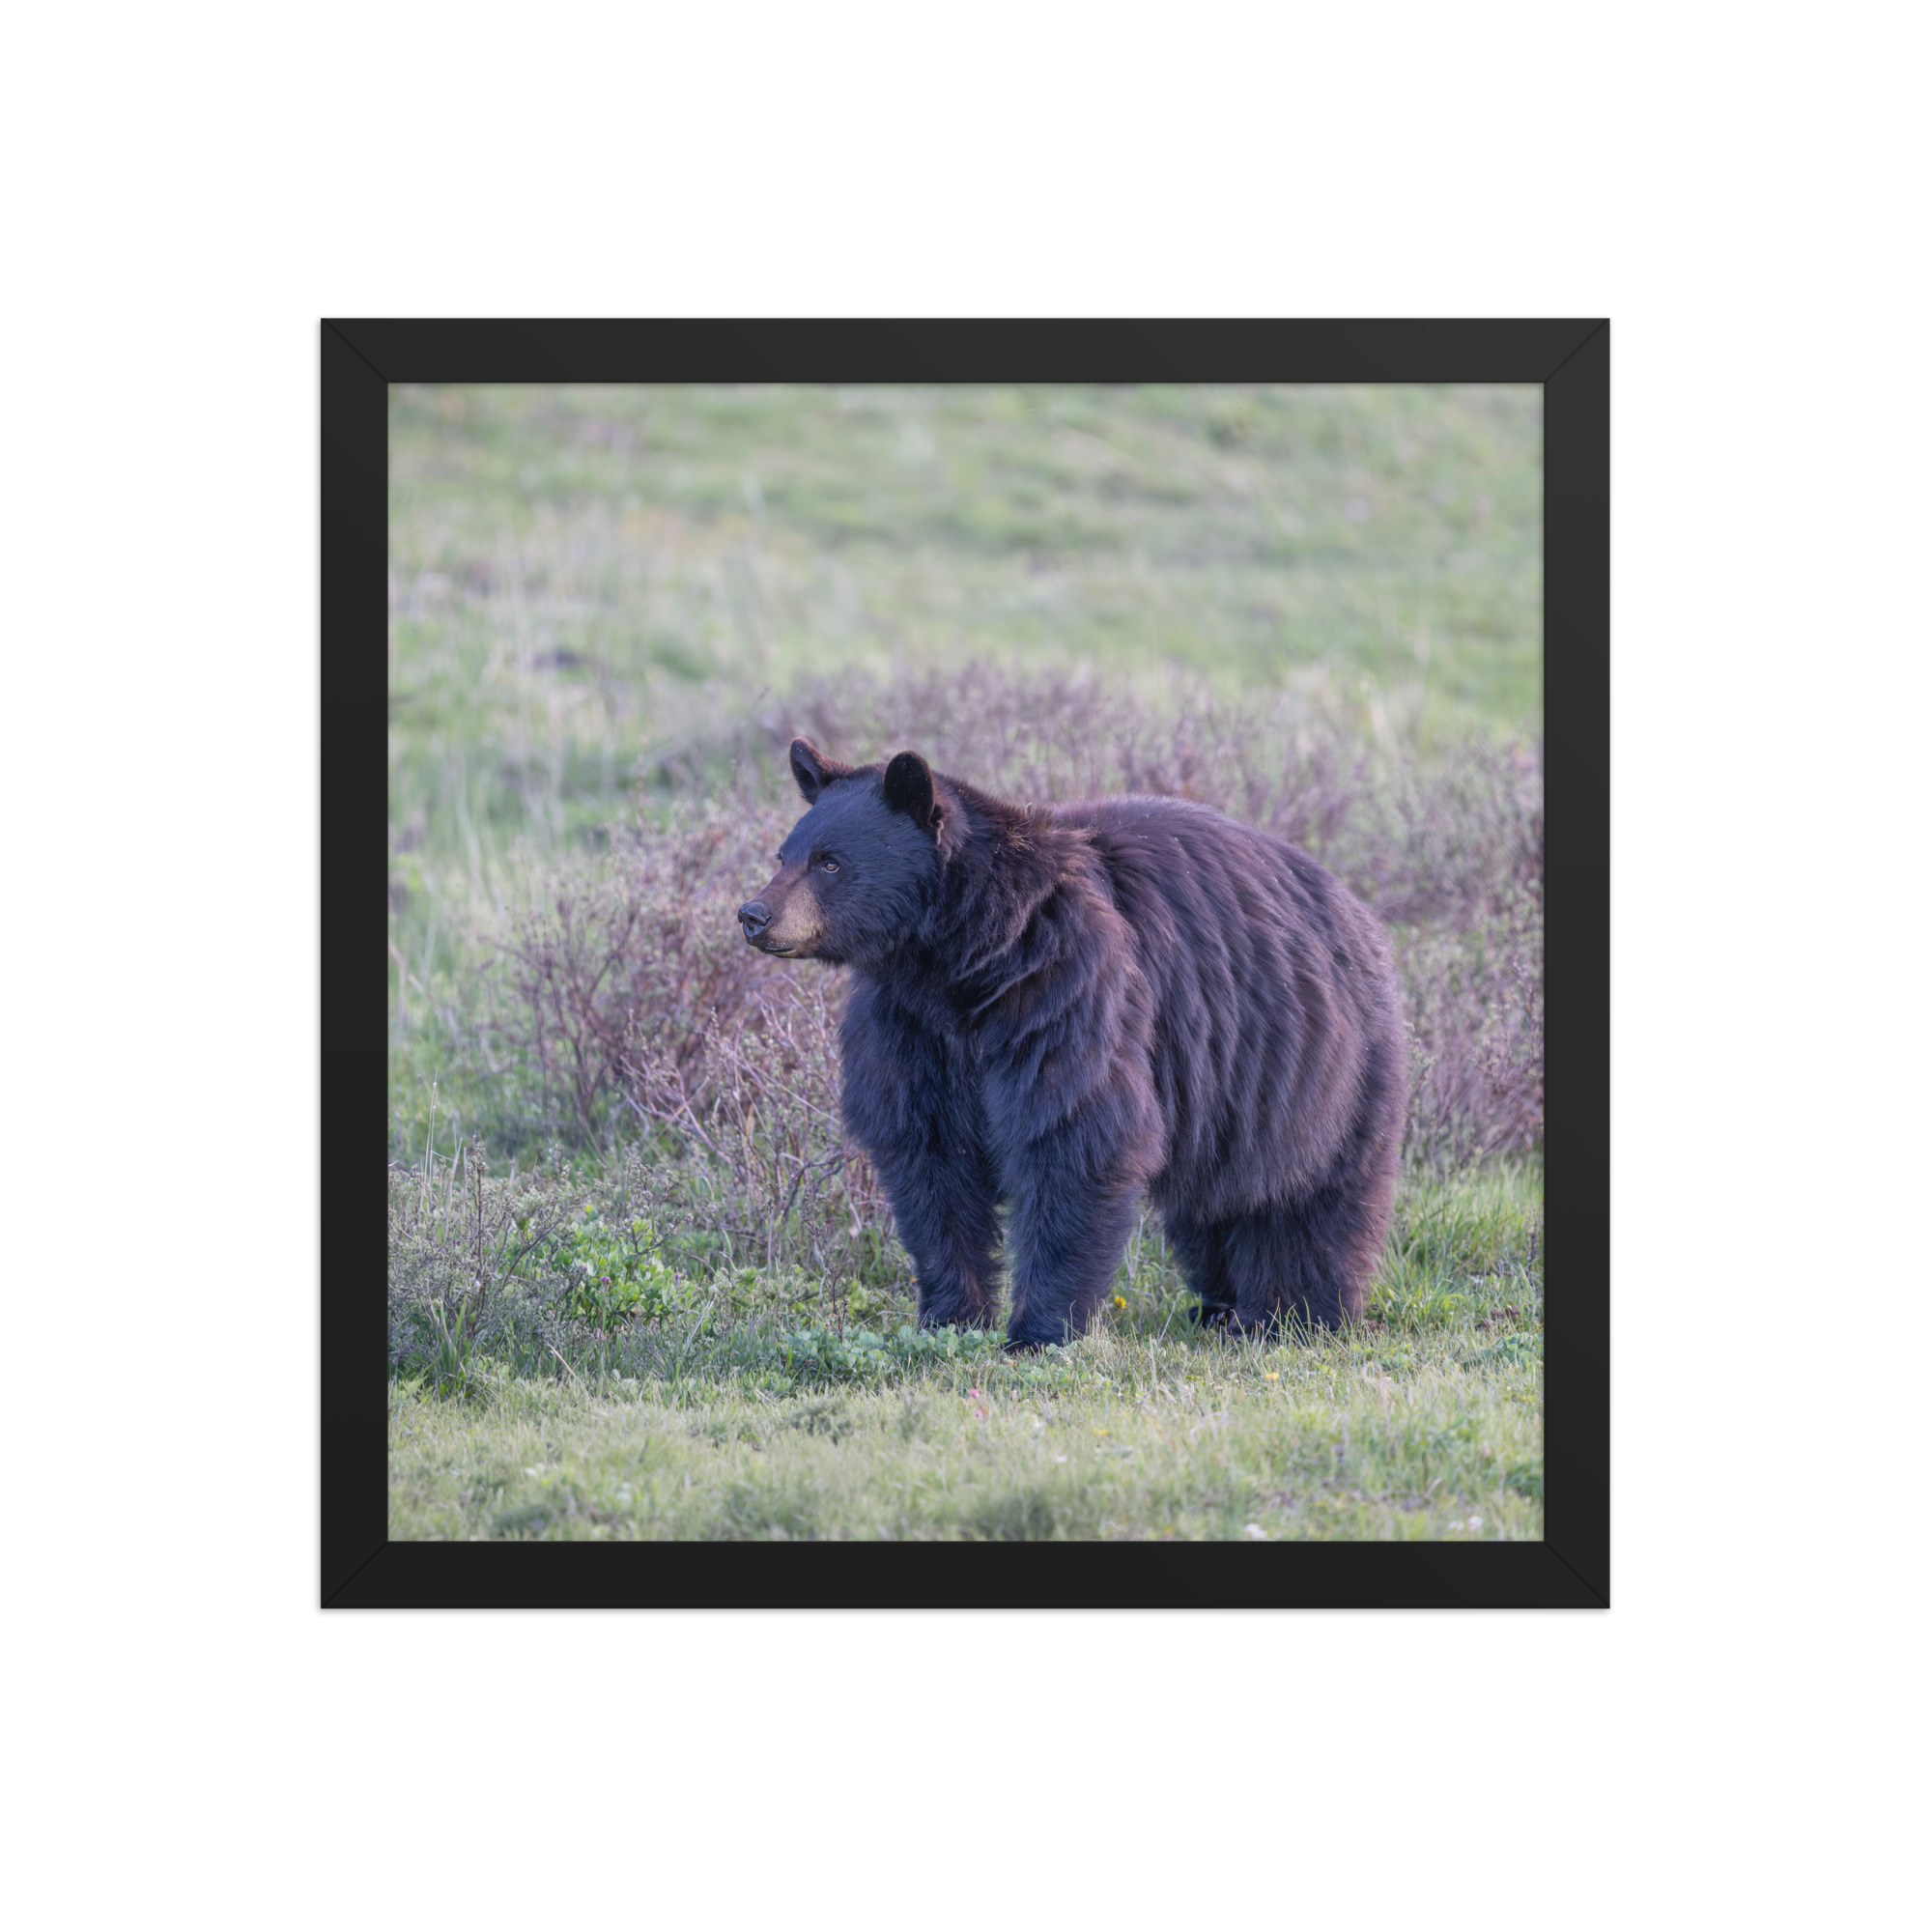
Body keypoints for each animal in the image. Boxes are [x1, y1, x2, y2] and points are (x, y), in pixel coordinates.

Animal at [737, 737, 1407, 1349]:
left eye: (829, 862)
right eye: (784, 853)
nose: (754, 914)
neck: (961, 961)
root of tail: (1357, 910)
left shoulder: (1066, 987)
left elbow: (1073, 1134)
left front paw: (1038, 1331)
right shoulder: (910, 1028)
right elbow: (928, 1157)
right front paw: (950, 1317)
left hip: (1319, 1065)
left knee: (1310, 1196)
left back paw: (1293, 1313)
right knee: (1214, 1203)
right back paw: (1219, 1307)